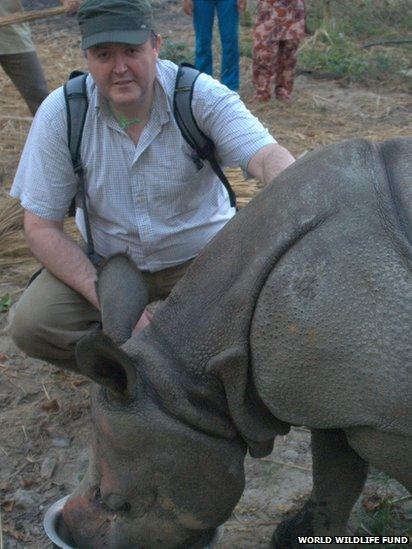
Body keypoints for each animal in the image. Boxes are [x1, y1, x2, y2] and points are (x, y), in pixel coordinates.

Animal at [59, 136, 410, 544]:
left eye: (119, 504)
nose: (74, 536)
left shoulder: (385, 417)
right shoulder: (338, 397)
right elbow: (335, 478)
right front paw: (307, 536)